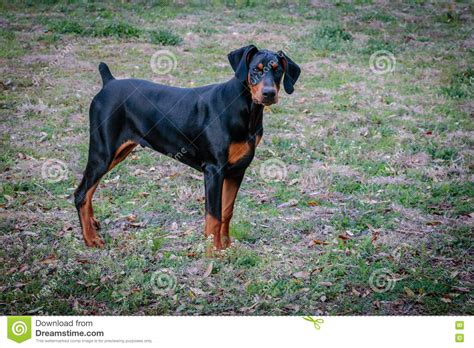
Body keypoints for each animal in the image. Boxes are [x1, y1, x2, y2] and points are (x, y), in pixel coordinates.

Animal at [76, 44, 302, 250]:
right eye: (256, 69)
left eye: (278, 70)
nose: (269, 93)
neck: (245, 110)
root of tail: (109, 82)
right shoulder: (213, 170)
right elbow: (213, 216)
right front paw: (213, 253)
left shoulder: (237, 170)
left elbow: (226, 212)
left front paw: (226, 247)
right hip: (103, 152)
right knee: (80, 194)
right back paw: (90, 238)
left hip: (117, 153)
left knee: (89, 191)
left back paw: (93, 225)